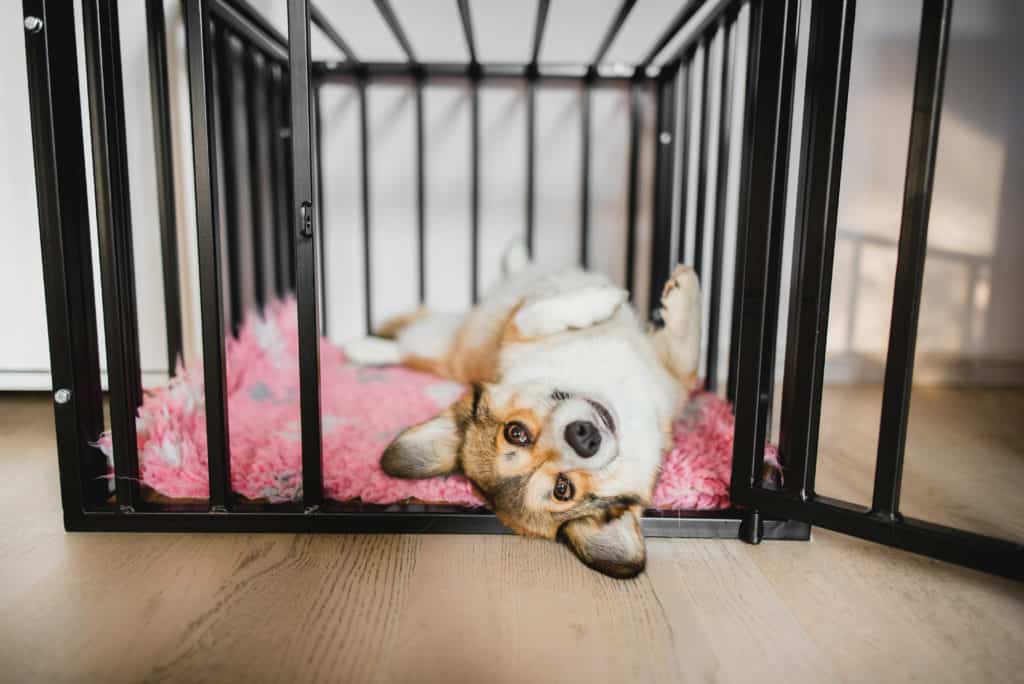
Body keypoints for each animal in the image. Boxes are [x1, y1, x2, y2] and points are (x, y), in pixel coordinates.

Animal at [348, 242, 700, 581]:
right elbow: (533, 313)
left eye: (515, 433)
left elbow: (685, 346)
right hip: (441, 346)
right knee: (408, 350)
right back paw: (363, 348)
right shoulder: (515, 331)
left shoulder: (673, 378)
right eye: (562, 489)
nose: (584, 439)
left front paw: (675, 295)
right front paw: (610, 298)